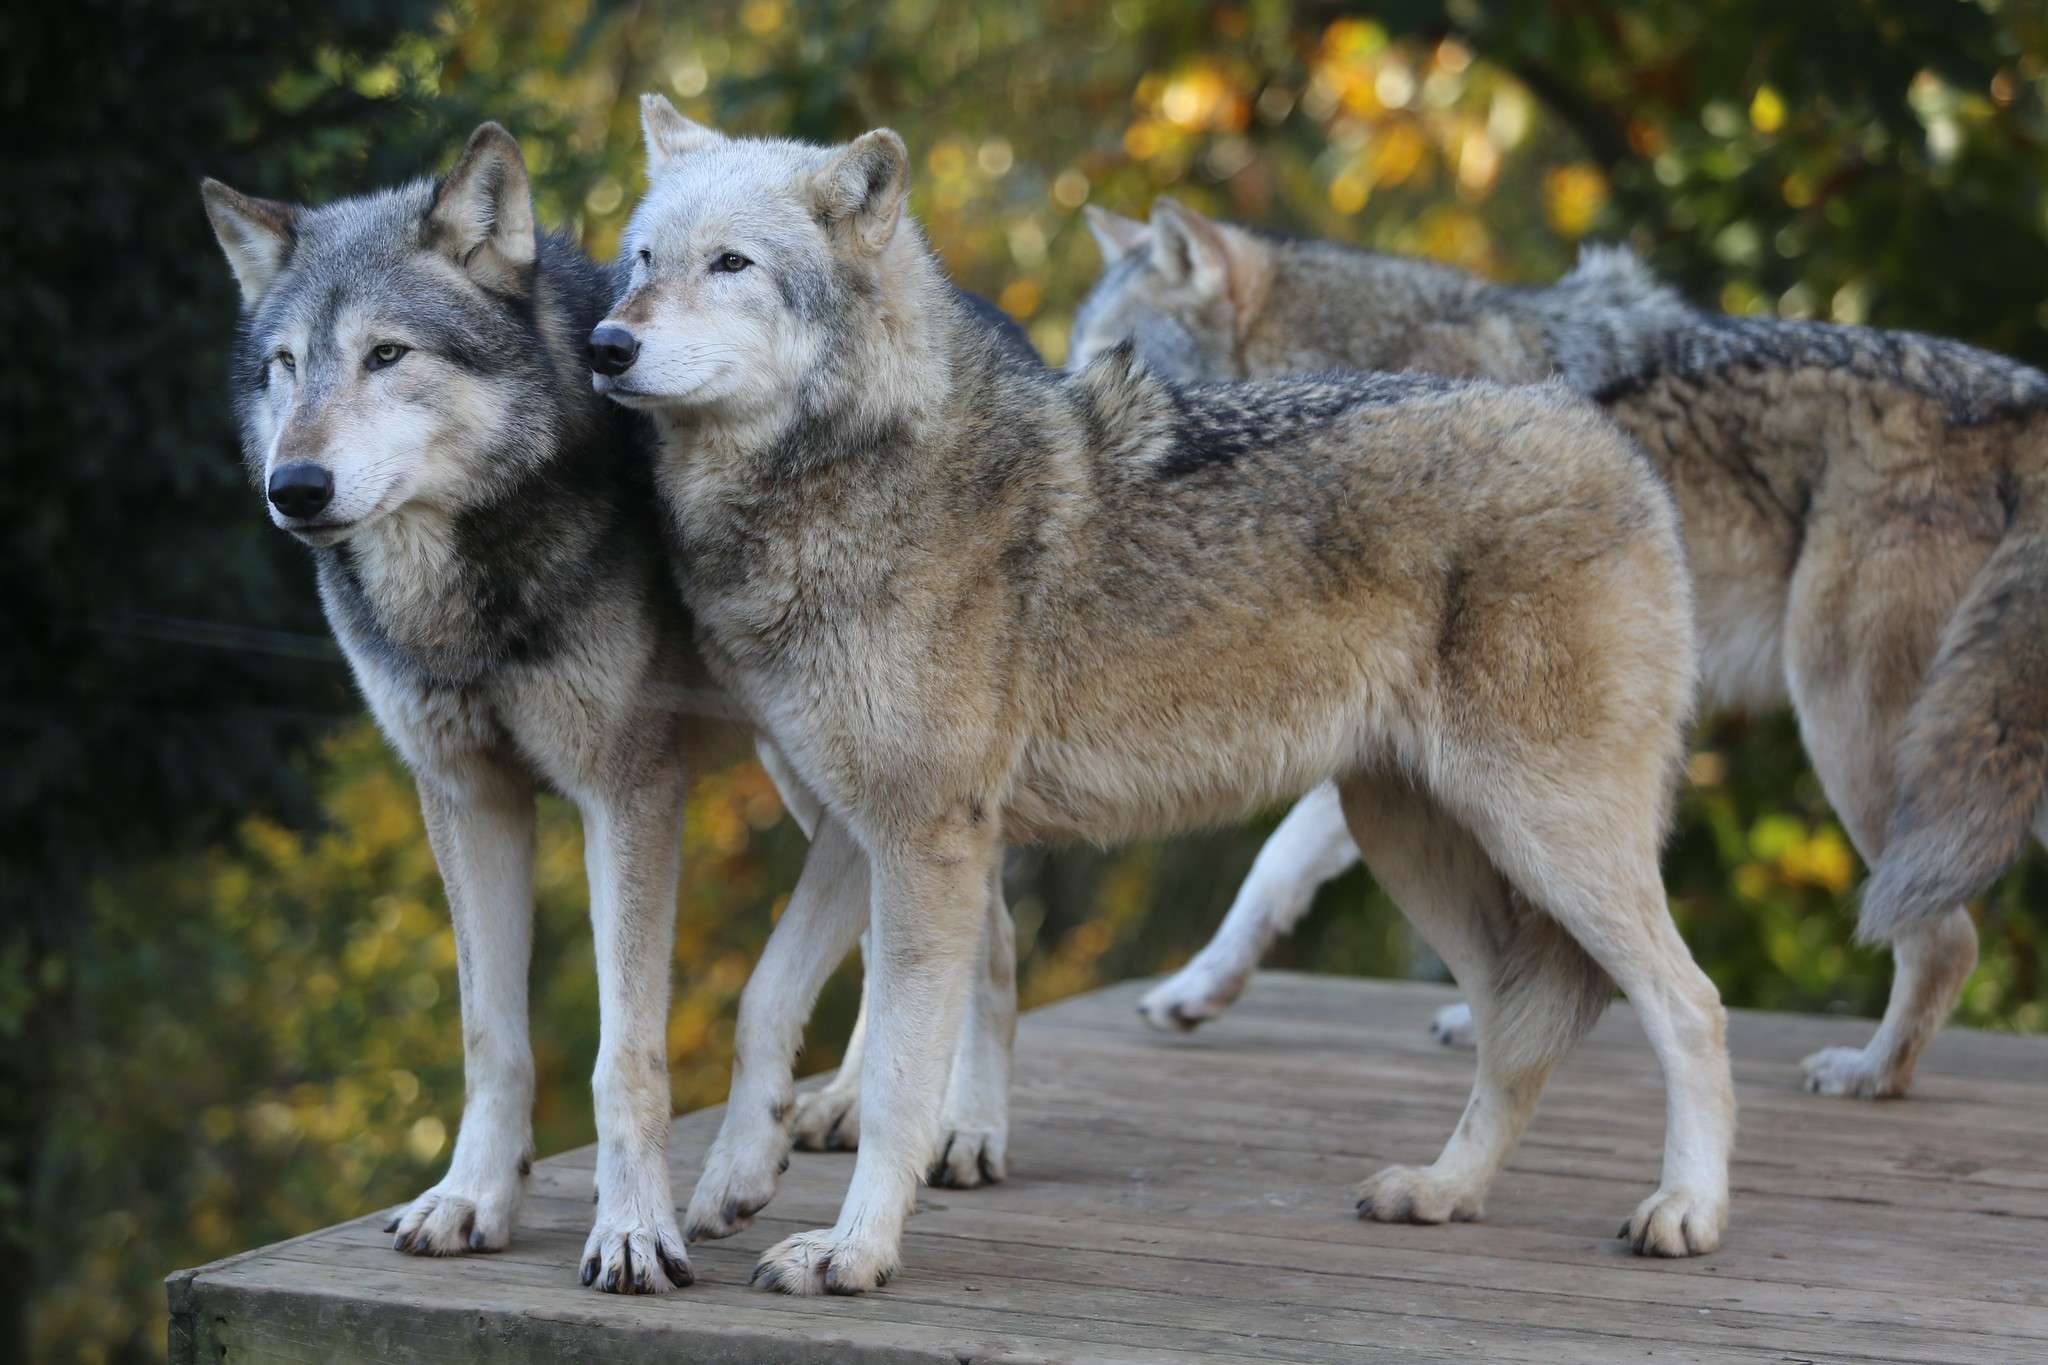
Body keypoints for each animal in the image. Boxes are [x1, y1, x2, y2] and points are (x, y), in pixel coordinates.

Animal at [589, 96, 1728, 1293]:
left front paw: (853, 1250)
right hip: (1412, 838)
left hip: (1545, 837)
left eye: (732, 264)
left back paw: (1685, 1210)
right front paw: (731, 1184)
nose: (605, 345)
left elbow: (902, 1073)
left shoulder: (923, 838)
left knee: (1690, 1006)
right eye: (643, 260)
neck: (848, 470)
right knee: (1522, 1019)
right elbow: (767, 1000)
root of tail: (1608, 444)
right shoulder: (856, 830)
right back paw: (1443, 1190)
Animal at [1073, 200, 2048, 1096]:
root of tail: (2026, 397)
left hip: (1863, 745)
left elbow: (1280, 856)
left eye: (1119, 357)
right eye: (1079, 352)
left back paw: (1869, 1072)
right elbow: (1282, 868)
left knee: (1945, 938)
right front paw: (1201, 989)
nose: (1073, 433)